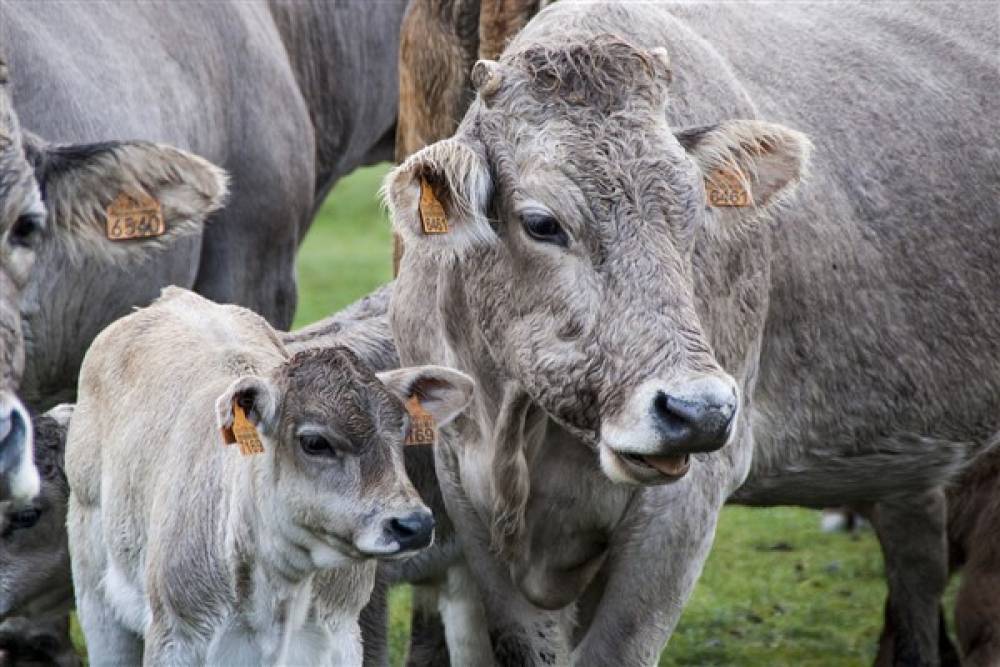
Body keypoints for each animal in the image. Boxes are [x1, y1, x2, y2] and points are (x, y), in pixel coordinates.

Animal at [65, 288, 472, 667]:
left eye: (401, 431)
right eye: (314, 442)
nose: (413, 525)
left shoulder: (342, 636)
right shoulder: (174, 639)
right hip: (95, 595)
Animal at [384, 2, 1000, 664]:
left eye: (694, 211)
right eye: (542, 223)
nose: (698, 410)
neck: (519, 426)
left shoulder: (686, 501)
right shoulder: (463, 486)